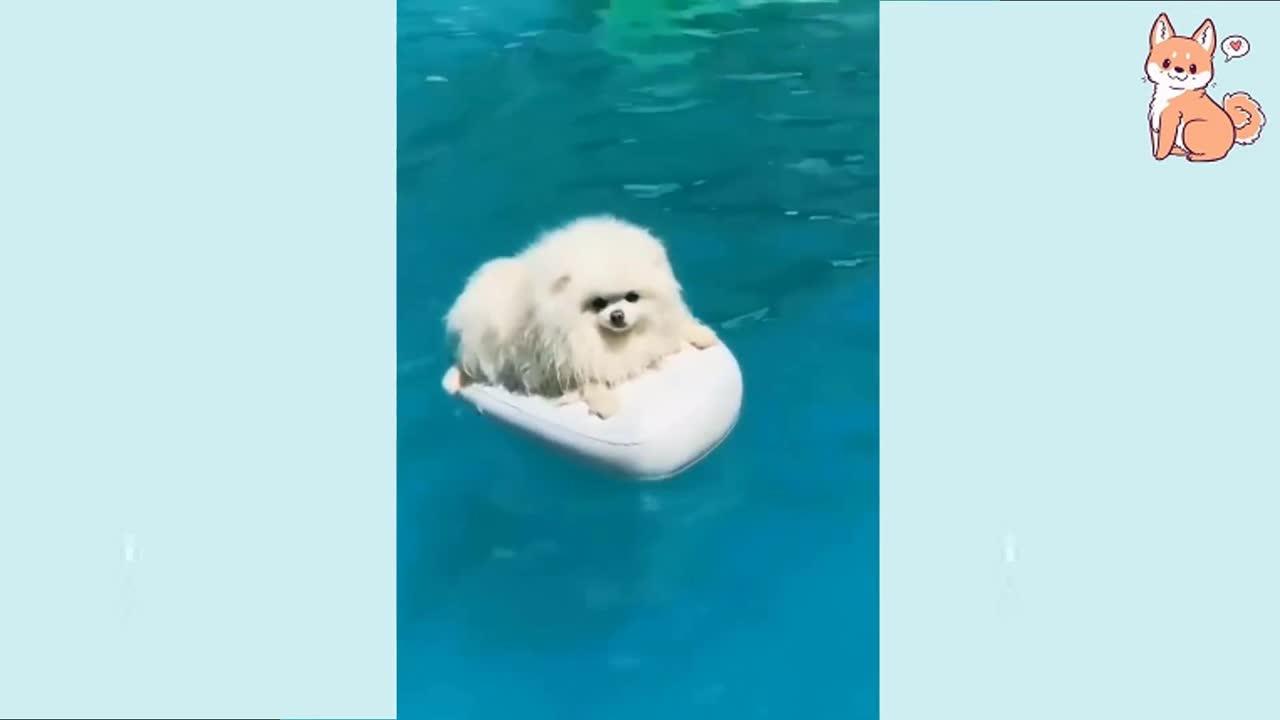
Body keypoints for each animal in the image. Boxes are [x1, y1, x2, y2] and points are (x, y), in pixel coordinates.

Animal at [442, 213, 721, 415]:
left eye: (632, 297)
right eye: (598, 303)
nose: (617, 315)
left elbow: (678, 325)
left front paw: (702, 335)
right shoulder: (562, 359)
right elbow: (588, 381)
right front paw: (605, 404)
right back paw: (454, 380)